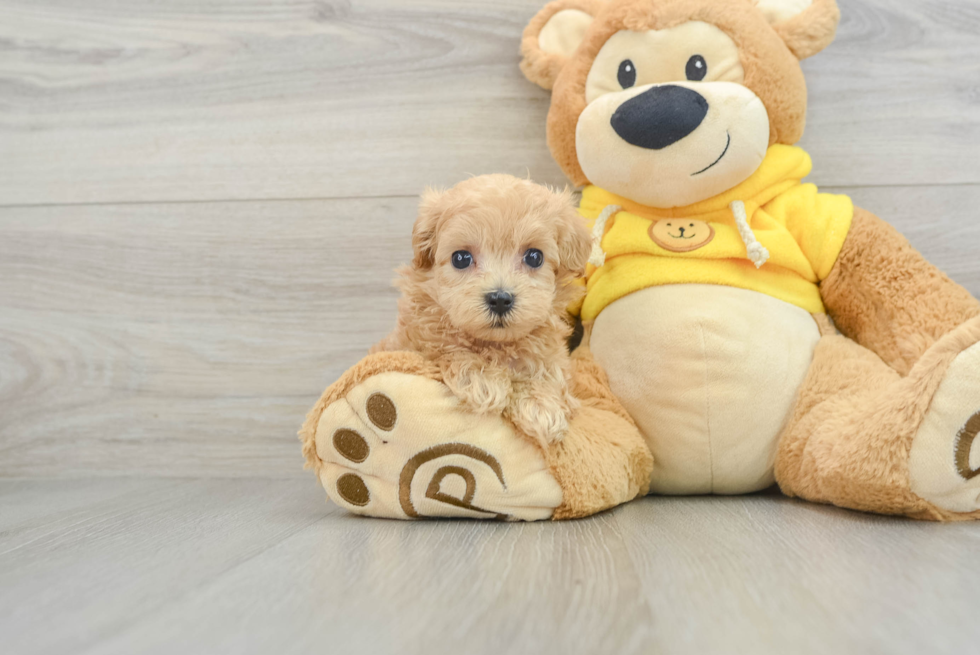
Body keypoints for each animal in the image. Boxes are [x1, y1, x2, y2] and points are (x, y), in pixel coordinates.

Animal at [372, 174, 588, 448]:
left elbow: (548, 373)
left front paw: (542, 406)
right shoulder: (414, 340)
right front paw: (482, 379)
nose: (500, 299)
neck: (495, 345)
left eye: (534, 257)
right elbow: (446, 346)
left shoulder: (551, 355)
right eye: (461, 258)